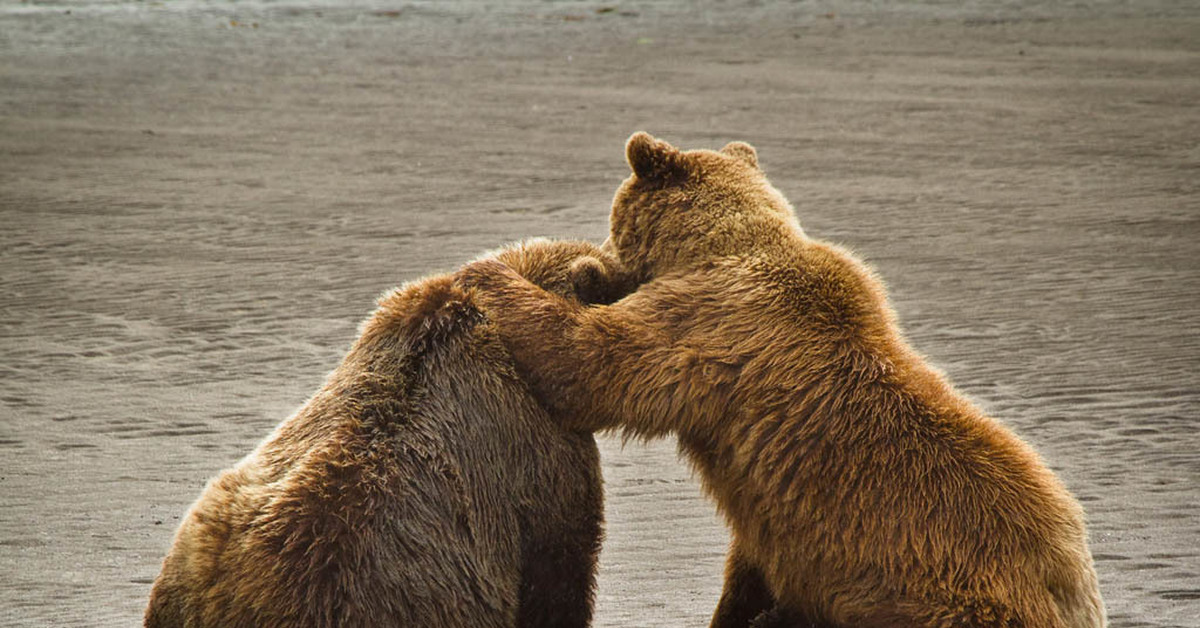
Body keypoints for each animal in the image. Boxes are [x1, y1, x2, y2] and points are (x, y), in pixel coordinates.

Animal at [458, 133, 1104, 628]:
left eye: (614, 220)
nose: (599, 257)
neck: (725, 245)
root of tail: (1076, 599)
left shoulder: (709, 326)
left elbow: (591, 361)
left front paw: (487, 272)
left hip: (941, 596)